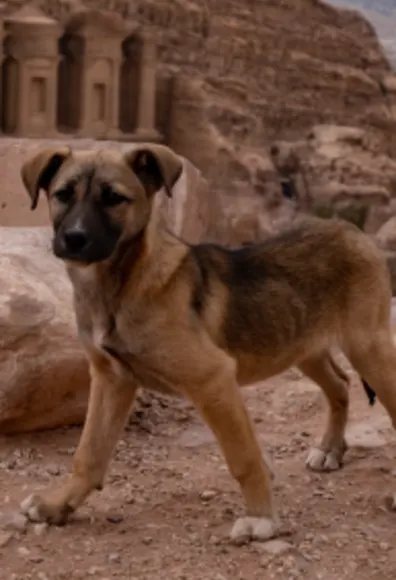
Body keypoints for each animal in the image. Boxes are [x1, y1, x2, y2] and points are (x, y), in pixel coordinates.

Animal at [17, 142, 396, 544]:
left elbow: (244, 458)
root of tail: (352, 229)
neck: (119, 284)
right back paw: (330, 450)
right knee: (339, 384)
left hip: (366, 345)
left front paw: (261, 519)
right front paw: (56, 506)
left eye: (114, 198)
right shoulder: (110, 378)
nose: (74, 238)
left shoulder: (212, 379)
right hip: (300, 345)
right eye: (62, 194)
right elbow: (88, 452)